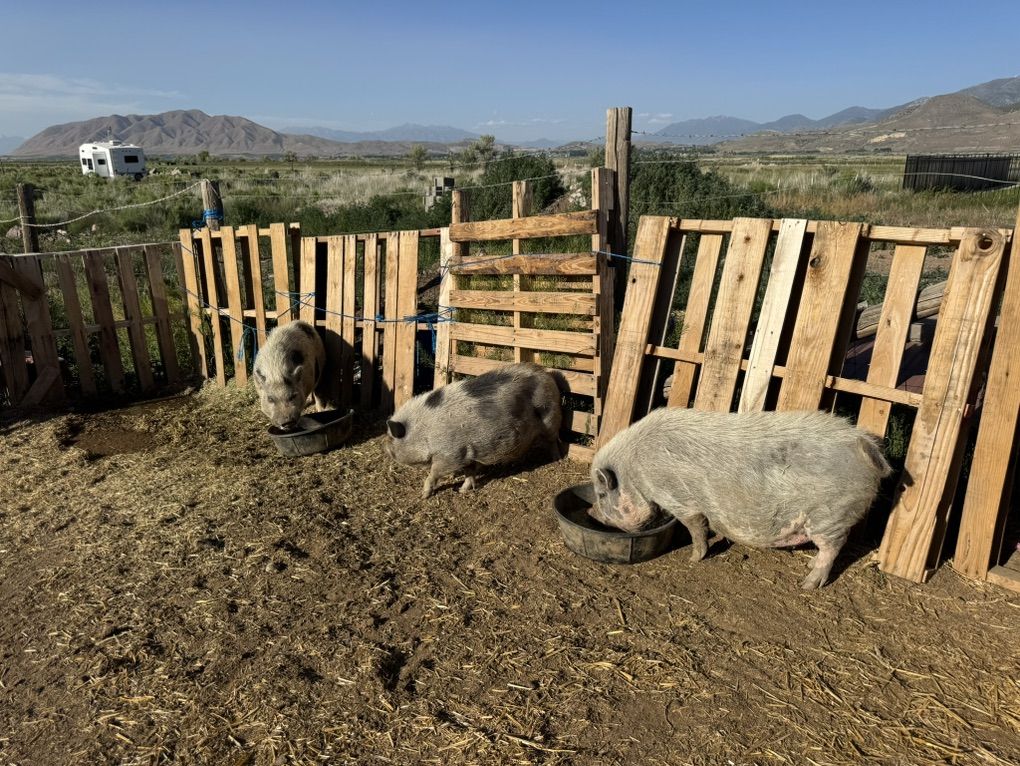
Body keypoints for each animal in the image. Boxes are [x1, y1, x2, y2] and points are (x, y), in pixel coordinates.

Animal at [385, 363, 563, 498]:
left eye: (392, 440)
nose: (388, 451)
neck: (424, 430)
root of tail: (546, 373)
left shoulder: (450, 455)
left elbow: (433, 474)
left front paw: (423, 496)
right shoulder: (467, 453)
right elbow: (469, 472)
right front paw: (463, 491)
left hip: (550, 415)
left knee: (553, 439)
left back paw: (556, 459)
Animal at [589, 408, 892, 589]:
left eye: (602, 493)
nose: (591, 512)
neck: (636, 472)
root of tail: (866, 446)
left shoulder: (679, 499)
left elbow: (696, 528)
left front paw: (694, 559)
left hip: (831, 515)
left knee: (833, 548)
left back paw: (808, 584)